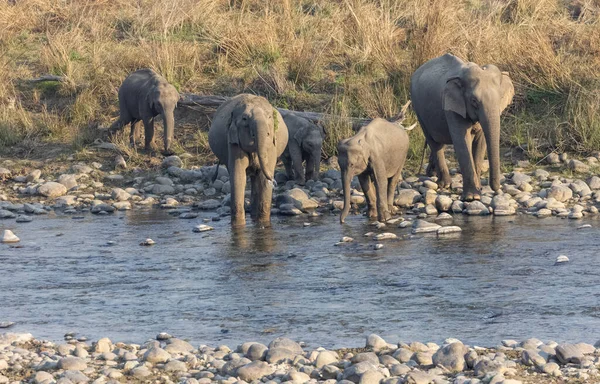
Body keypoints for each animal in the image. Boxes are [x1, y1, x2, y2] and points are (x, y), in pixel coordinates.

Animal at [209, 94, 288, 228]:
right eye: (245, 119)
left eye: (269, 117)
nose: (274, 181)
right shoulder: (233, 142)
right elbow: (238, 176)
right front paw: (238, 226)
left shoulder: (272, 146)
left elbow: (262, 178)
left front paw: (263, 223)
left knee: (256, 177)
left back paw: (255, 216)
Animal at [410, 53, 512, 201]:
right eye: (474, 101)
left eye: (501, 98)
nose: (496, 190)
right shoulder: (452, 106)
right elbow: (462, 141)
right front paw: (472, 197)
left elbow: (480, 142)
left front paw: (478, 190)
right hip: (418, 109)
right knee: (434, 142)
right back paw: (444, 184)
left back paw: (432, 173)